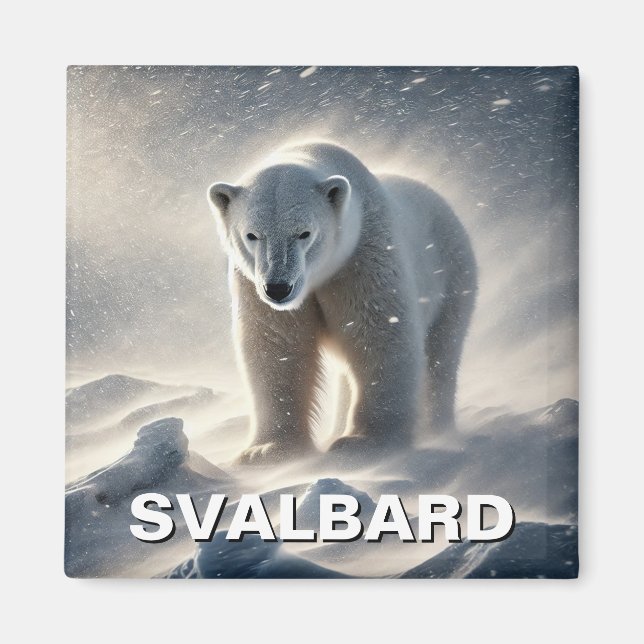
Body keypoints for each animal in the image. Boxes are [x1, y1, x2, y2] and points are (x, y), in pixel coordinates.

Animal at [208, 141, 477, 463]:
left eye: (304, 233)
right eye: (252, 235)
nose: (278, 288)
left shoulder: (362, 257)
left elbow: (378, 334)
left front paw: (366, 441)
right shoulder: (251, 284)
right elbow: (277, 346)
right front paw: (267, 450)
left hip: (453, 278)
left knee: (441, 355)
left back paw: (435, 429)